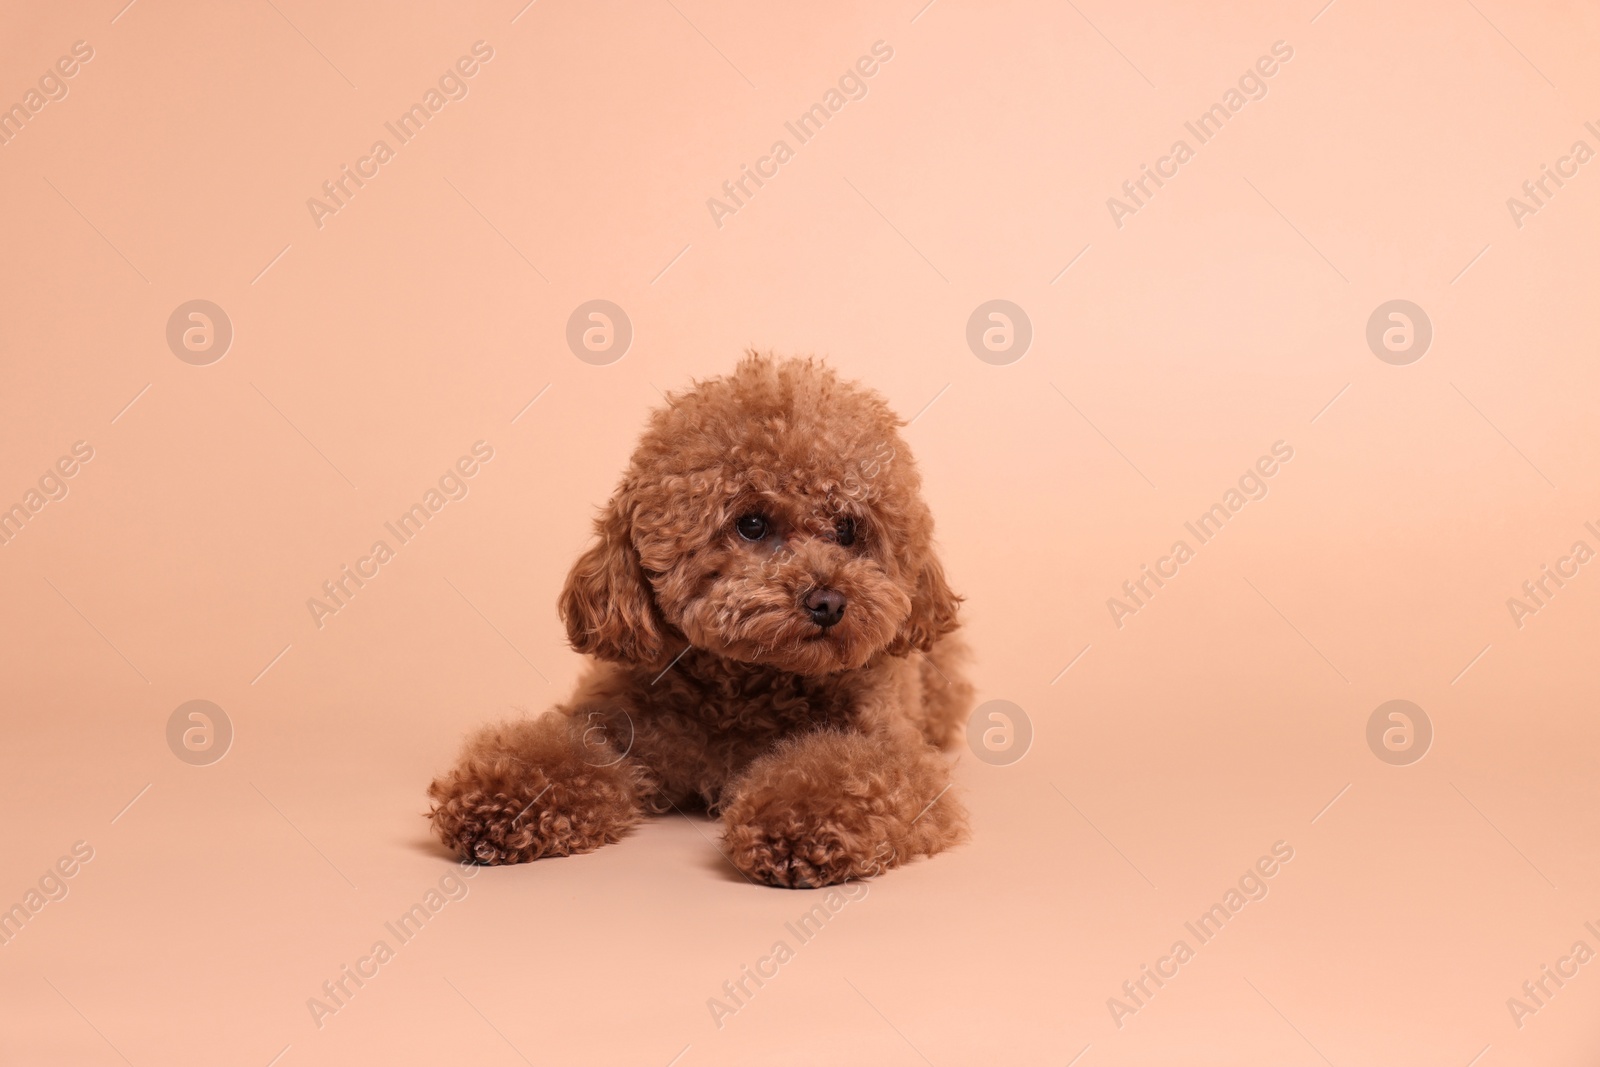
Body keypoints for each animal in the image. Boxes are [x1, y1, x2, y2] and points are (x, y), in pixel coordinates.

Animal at [428, 355, 972, 889]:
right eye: (751, 524)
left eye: (847, 529)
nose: (829, 602)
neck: (748, 690)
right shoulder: (614, 720)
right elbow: (559, 752)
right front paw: (499, 799)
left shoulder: (888, 746)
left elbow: (853, 771)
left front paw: (800, 822)